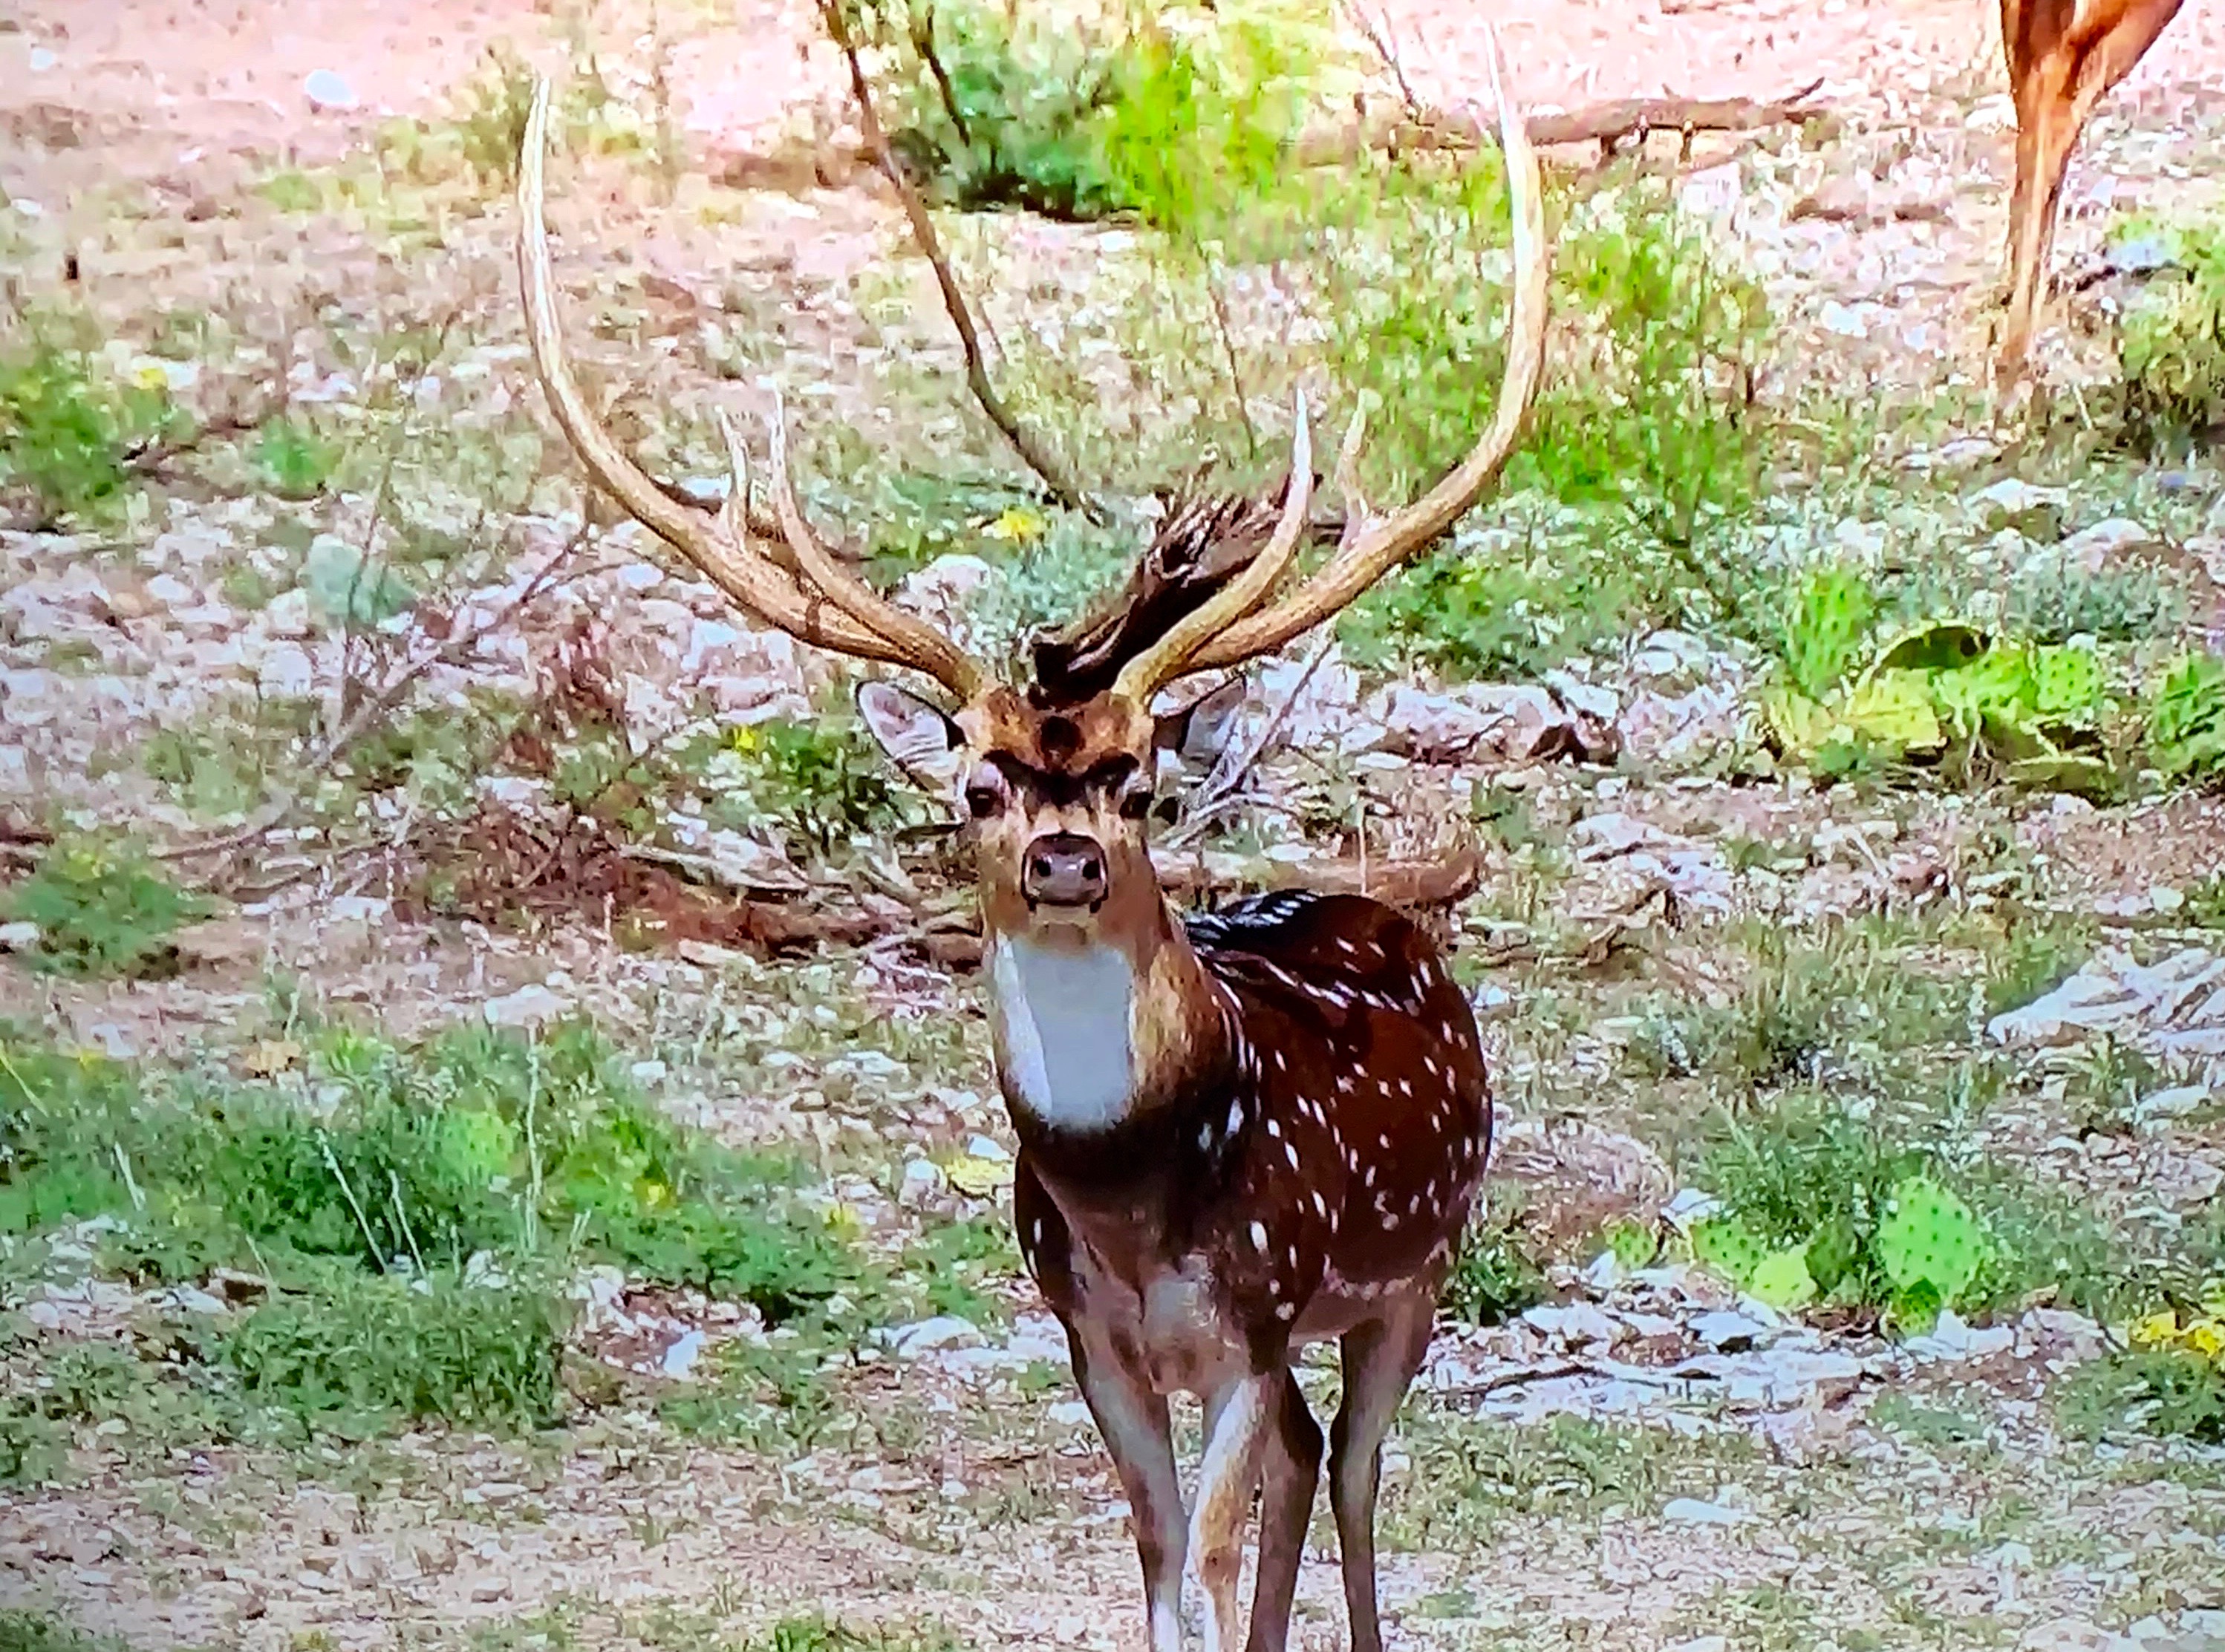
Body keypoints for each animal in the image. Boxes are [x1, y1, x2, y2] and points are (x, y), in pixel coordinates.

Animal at [516, 35, 1548, 1645]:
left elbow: (1205, 1546)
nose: (1064, 861)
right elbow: (1157, 1556)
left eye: (1139, 784)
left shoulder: (1258, 1306)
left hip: (1416, 1263)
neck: (1127, 1192)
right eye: (978, 788)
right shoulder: (1086, 1333)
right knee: (1309, 1457)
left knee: (1359, 1464)